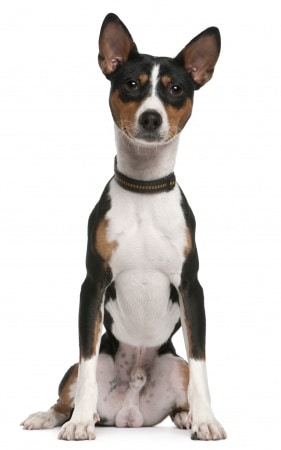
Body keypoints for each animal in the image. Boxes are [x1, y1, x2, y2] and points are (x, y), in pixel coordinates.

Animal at [21, 13, 226, 440]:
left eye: (176, 89)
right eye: (131, 84)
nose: (151, 117)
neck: (144, 187)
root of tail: (129, 413)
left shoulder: (191, 287)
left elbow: (201, 363)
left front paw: (206, 420)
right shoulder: (93, 284)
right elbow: (86, 367)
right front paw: (80, 422)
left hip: (175, 363)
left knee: (181, 389)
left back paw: (185, 416)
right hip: (82, 367)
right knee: (67, 393)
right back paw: (51, 416)